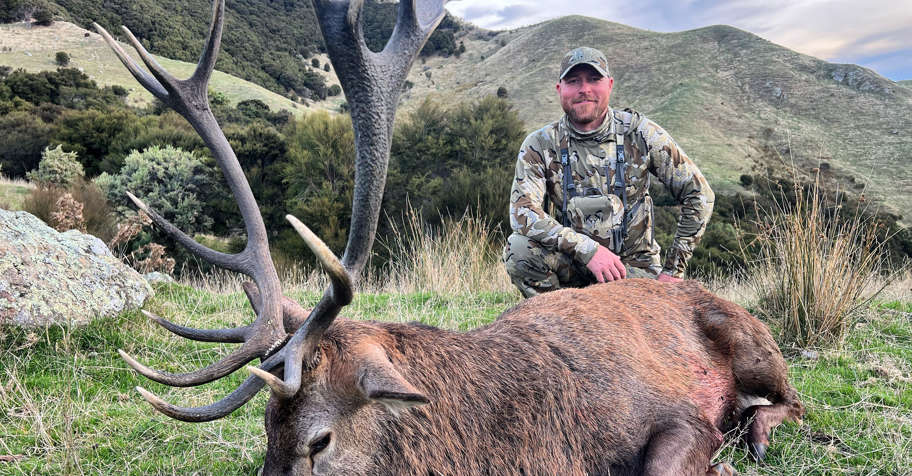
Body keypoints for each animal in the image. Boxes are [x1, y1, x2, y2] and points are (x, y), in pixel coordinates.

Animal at [96, 1, 804, 475]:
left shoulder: (677, 414)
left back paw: (756, 428)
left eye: (319, 440)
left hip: (753, 338)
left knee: (791, 396)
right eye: (267, 426)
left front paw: (723, 457)